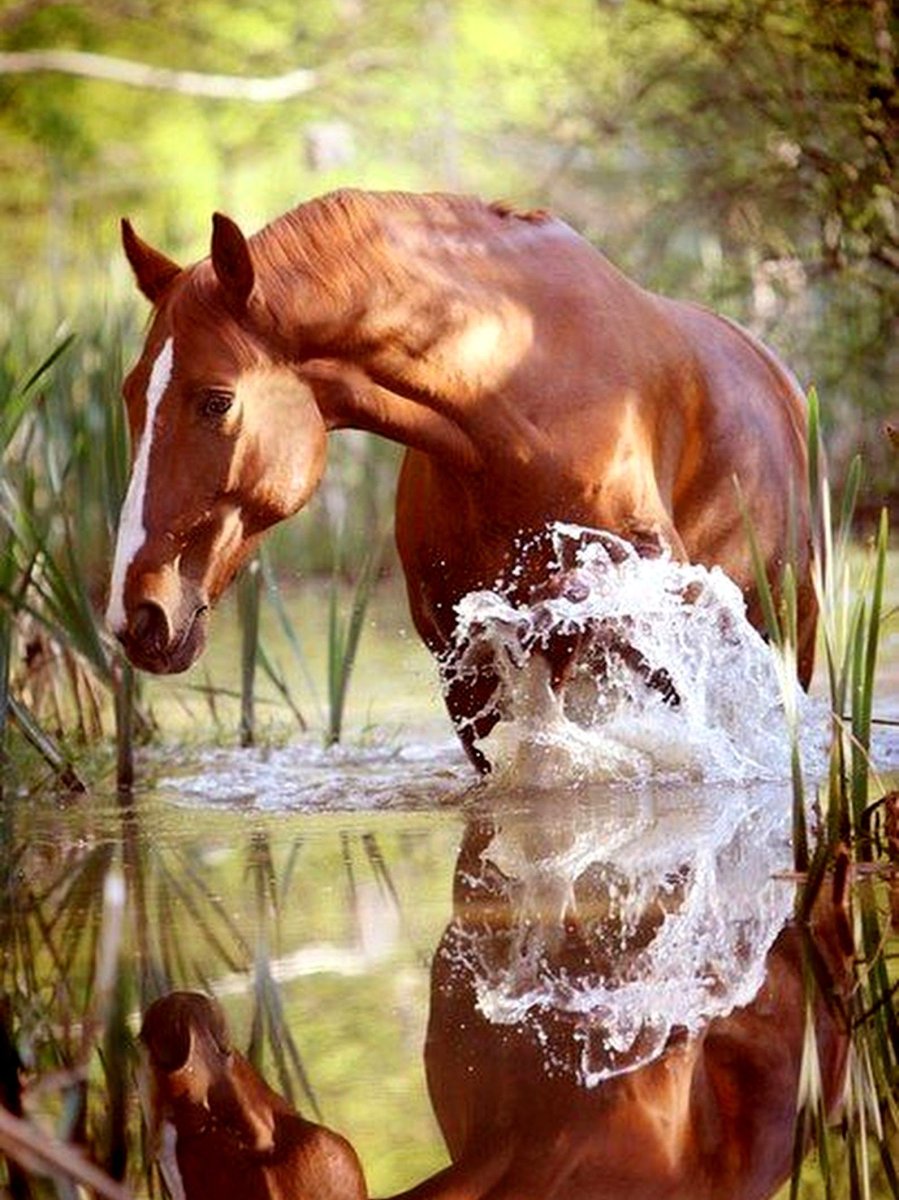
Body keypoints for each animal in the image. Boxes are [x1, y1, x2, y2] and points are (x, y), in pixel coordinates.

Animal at [107, 189, 815, 765]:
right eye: (130, 393)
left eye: (216, 400)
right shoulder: (462, 684)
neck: (512, 412)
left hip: (789, 632)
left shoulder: (652, 586)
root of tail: (774, 373)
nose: (136, 615)